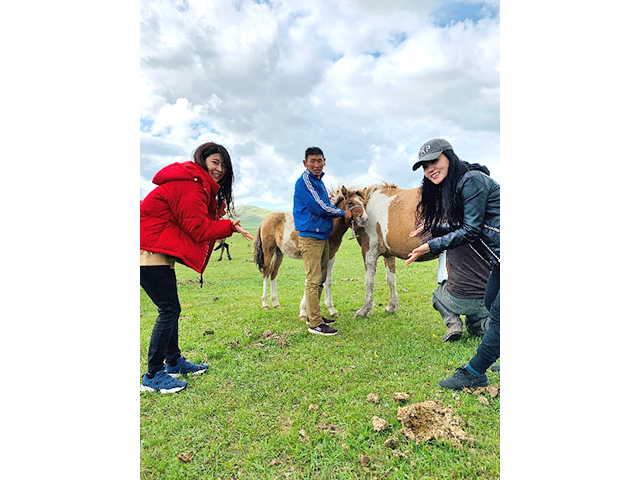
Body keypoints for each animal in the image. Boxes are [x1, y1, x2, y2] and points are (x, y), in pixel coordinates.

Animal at [252, 187, 368, 318]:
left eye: (364, 203)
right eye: (350, 203)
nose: (364, 218)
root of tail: (264, 220)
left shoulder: (331, 257)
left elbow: (328, 281)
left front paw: (331, 309)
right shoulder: (314, 256)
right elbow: (312, 279)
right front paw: (303, 311)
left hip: (279, 252)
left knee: (273, 272)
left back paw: (275, 303)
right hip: (268, 250)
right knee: (266, 272)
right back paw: (265, 304)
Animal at [352, 184, 438, 318]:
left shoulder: (369, 252)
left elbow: (369, 281)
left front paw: (364, 310)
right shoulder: (388, 254)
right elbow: (390, 279)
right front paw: (392, 307)